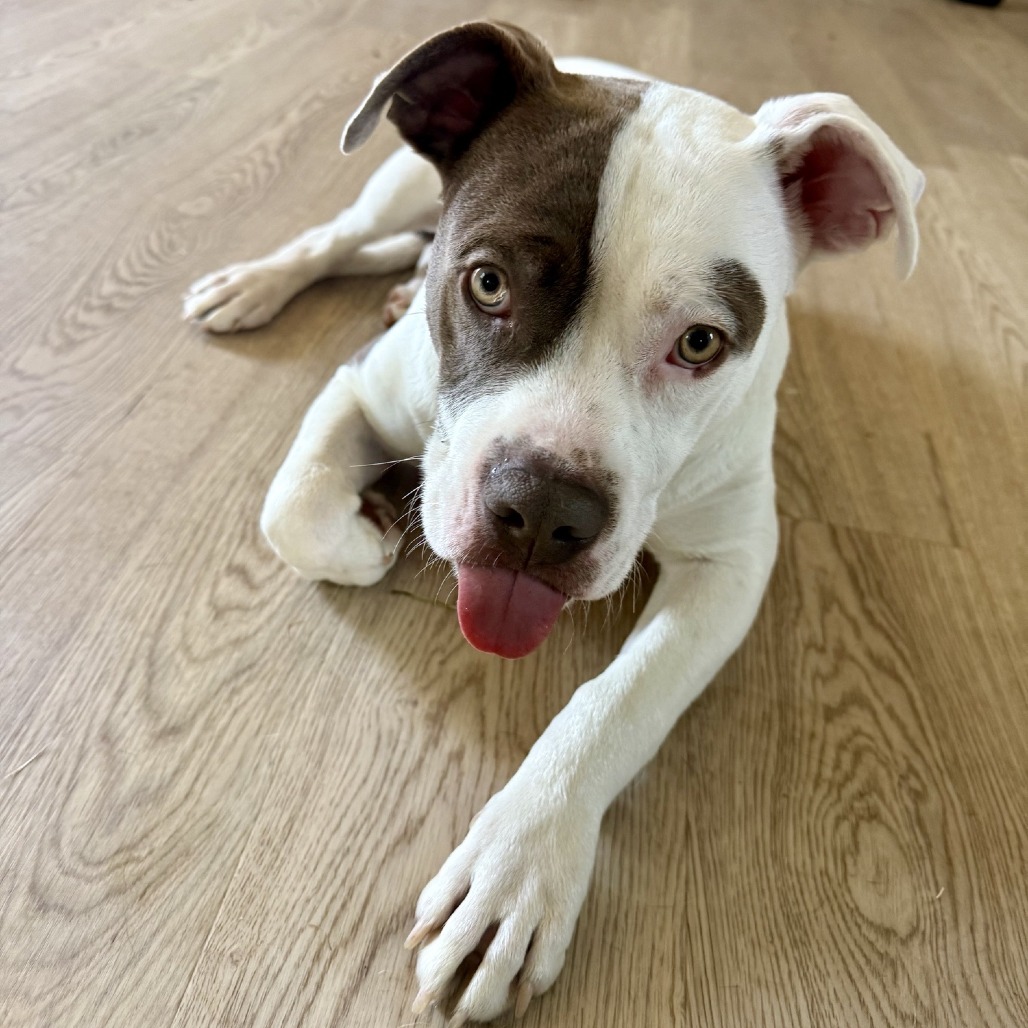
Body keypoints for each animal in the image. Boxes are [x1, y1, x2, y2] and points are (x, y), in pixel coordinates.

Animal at [184, 22, 923, 1024]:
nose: (540, 511)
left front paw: (517, 867)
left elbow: (616, 706)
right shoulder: (364, 386)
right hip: (396, 183)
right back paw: (262, 282)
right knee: (343, 235)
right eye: (489, 284)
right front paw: (367, 533)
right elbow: (291, 511)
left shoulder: (731, 566)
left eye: (702, 342)